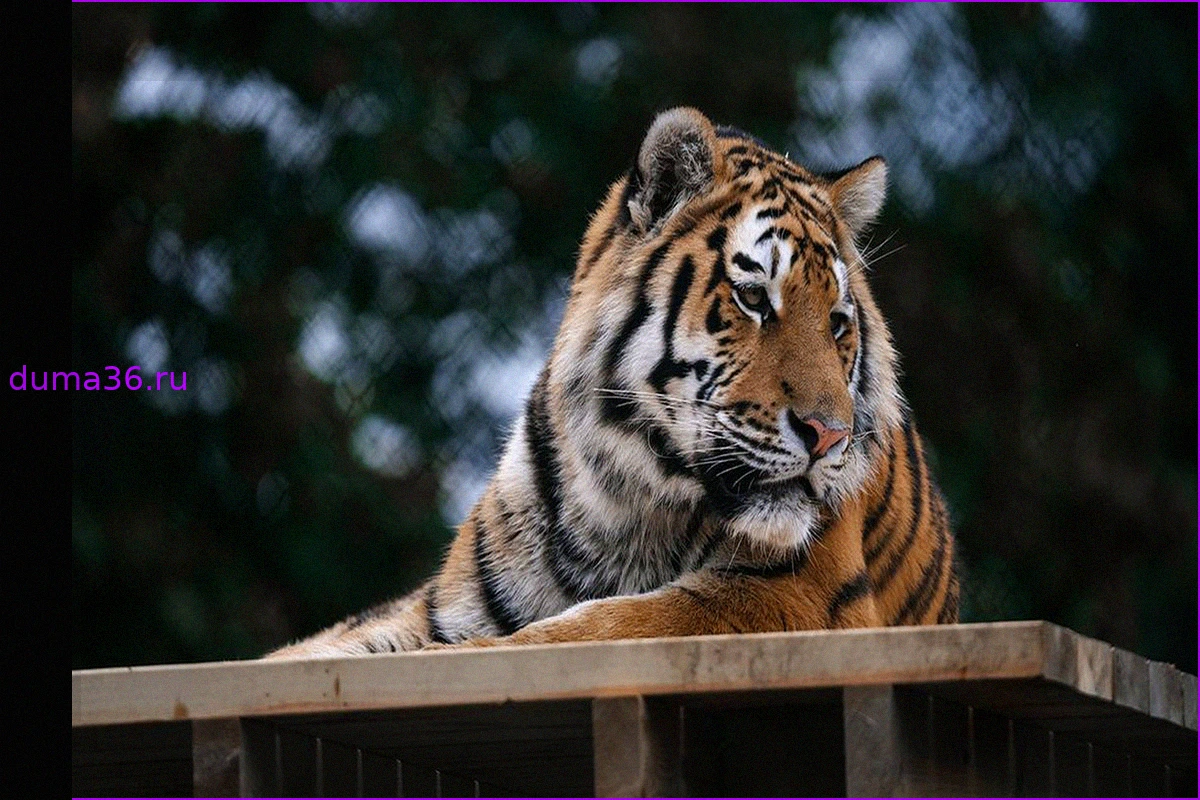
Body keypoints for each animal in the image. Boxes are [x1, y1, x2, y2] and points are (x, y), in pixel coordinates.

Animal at [267, 107, 958, 659]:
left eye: (837, 323)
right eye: (755, 298)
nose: (829, 436)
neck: (630, 488)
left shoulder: (786, 595)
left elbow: (577, 630)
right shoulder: (449, 603)